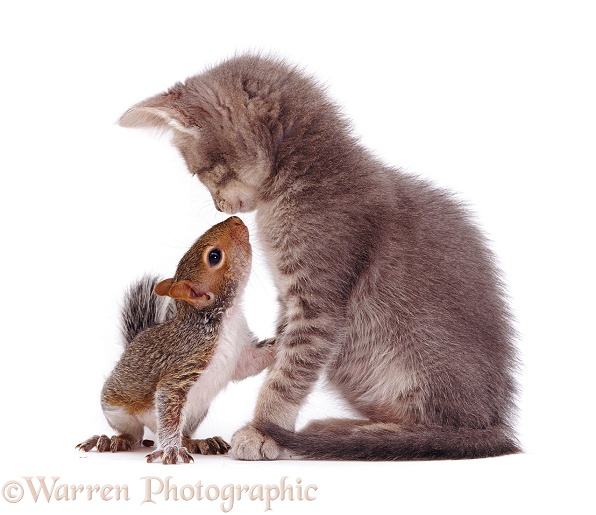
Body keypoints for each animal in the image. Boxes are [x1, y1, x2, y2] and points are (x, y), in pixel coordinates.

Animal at [76, 216, 278, 466]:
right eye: (214, 256)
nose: (236, 219)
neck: (224, 320)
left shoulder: (241, 351)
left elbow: (253, 362)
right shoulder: (185, 364)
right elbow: (168, 399)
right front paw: (171, 449)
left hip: (194, 414)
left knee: (182, 433)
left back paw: (199, 442)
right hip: (116, 408)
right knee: (134, 434)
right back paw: (112, 440)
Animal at [118, 54, 520, 462]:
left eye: (201, 172)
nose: (219, 206)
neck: (298, 182)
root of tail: (496, 421)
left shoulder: (318, 301)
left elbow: (288, 373)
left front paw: (263, 431)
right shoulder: (288, 297)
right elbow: (279, 354)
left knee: (436, 431)